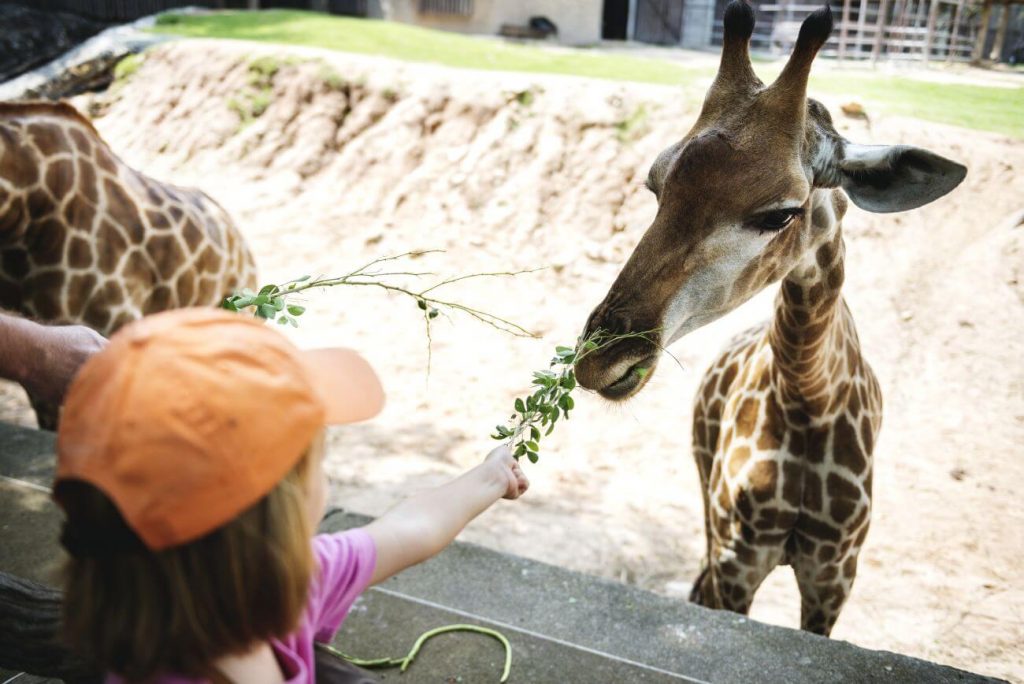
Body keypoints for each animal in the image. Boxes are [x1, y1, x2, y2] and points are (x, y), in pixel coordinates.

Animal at [577, 2, 966, 638]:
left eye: (781, 213)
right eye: (655, 186)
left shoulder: (834, 575)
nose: (600, 360)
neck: (809, 396)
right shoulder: (739, 557)